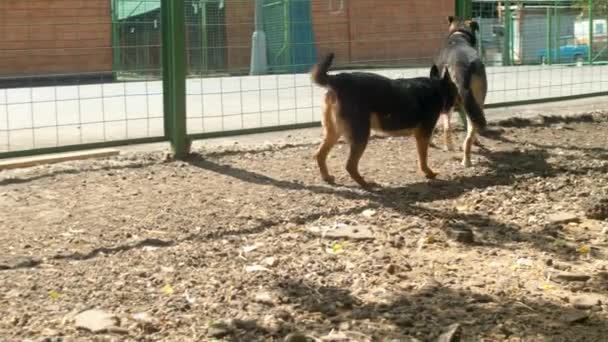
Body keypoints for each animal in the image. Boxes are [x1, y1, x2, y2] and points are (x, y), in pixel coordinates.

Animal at [434, 15, 486, 168]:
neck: (459, 35)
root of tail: (462, 65)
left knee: (451, 126)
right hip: (476, 101)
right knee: (468, 131)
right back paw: (465, 159)